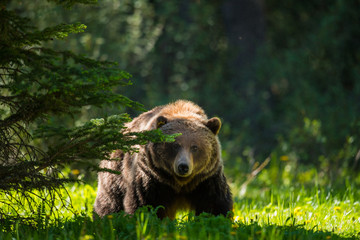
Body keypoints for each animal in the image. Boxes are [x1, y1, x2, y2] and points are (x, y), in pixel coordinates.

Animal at [94, 99, 232, 219]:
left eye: (195, 147)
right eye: (175, 145)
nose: (183, 166)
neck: (180, 184)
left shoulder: (206, 179)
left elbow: (214, 205)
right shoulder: (150, 177)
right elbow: (144, 204)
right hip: (115, 173)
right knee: (109, 202)